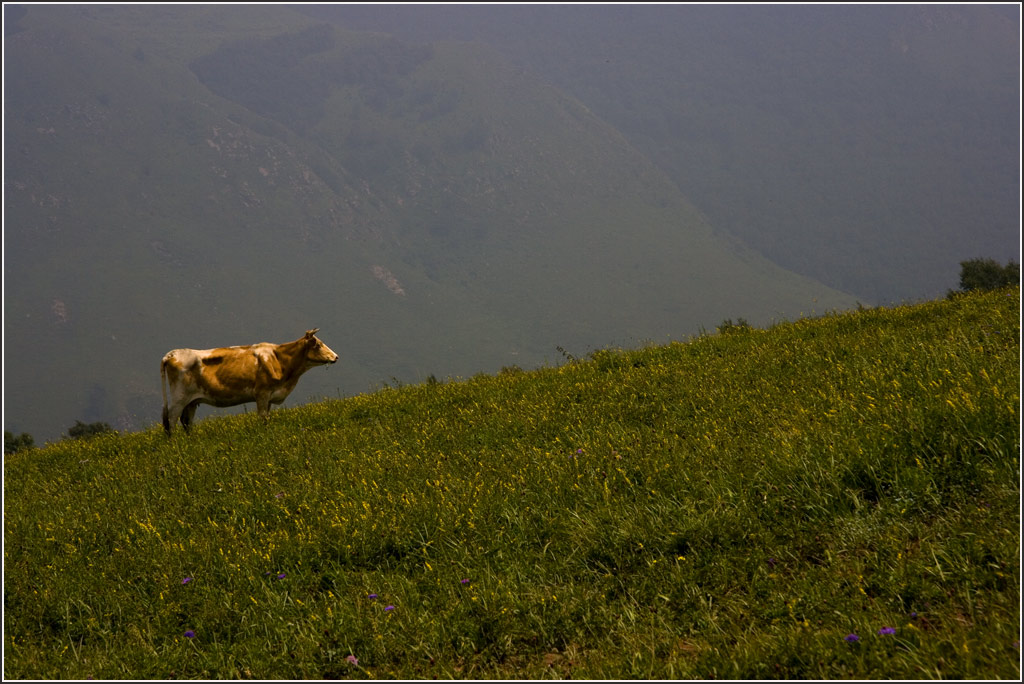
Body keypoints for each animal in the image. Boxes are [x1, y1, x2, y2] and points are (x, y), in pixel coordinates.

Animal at [157, 327, 337, 436]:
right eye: (318, 345)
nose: (336, 356)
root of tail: (172, 354)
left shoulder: (270, 396)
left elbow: (267, 417)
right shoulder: (262, 393)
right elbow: (263, 417)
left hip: (192, 401)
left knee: (186, 421)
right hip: (179, 398)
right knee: (171, 420)